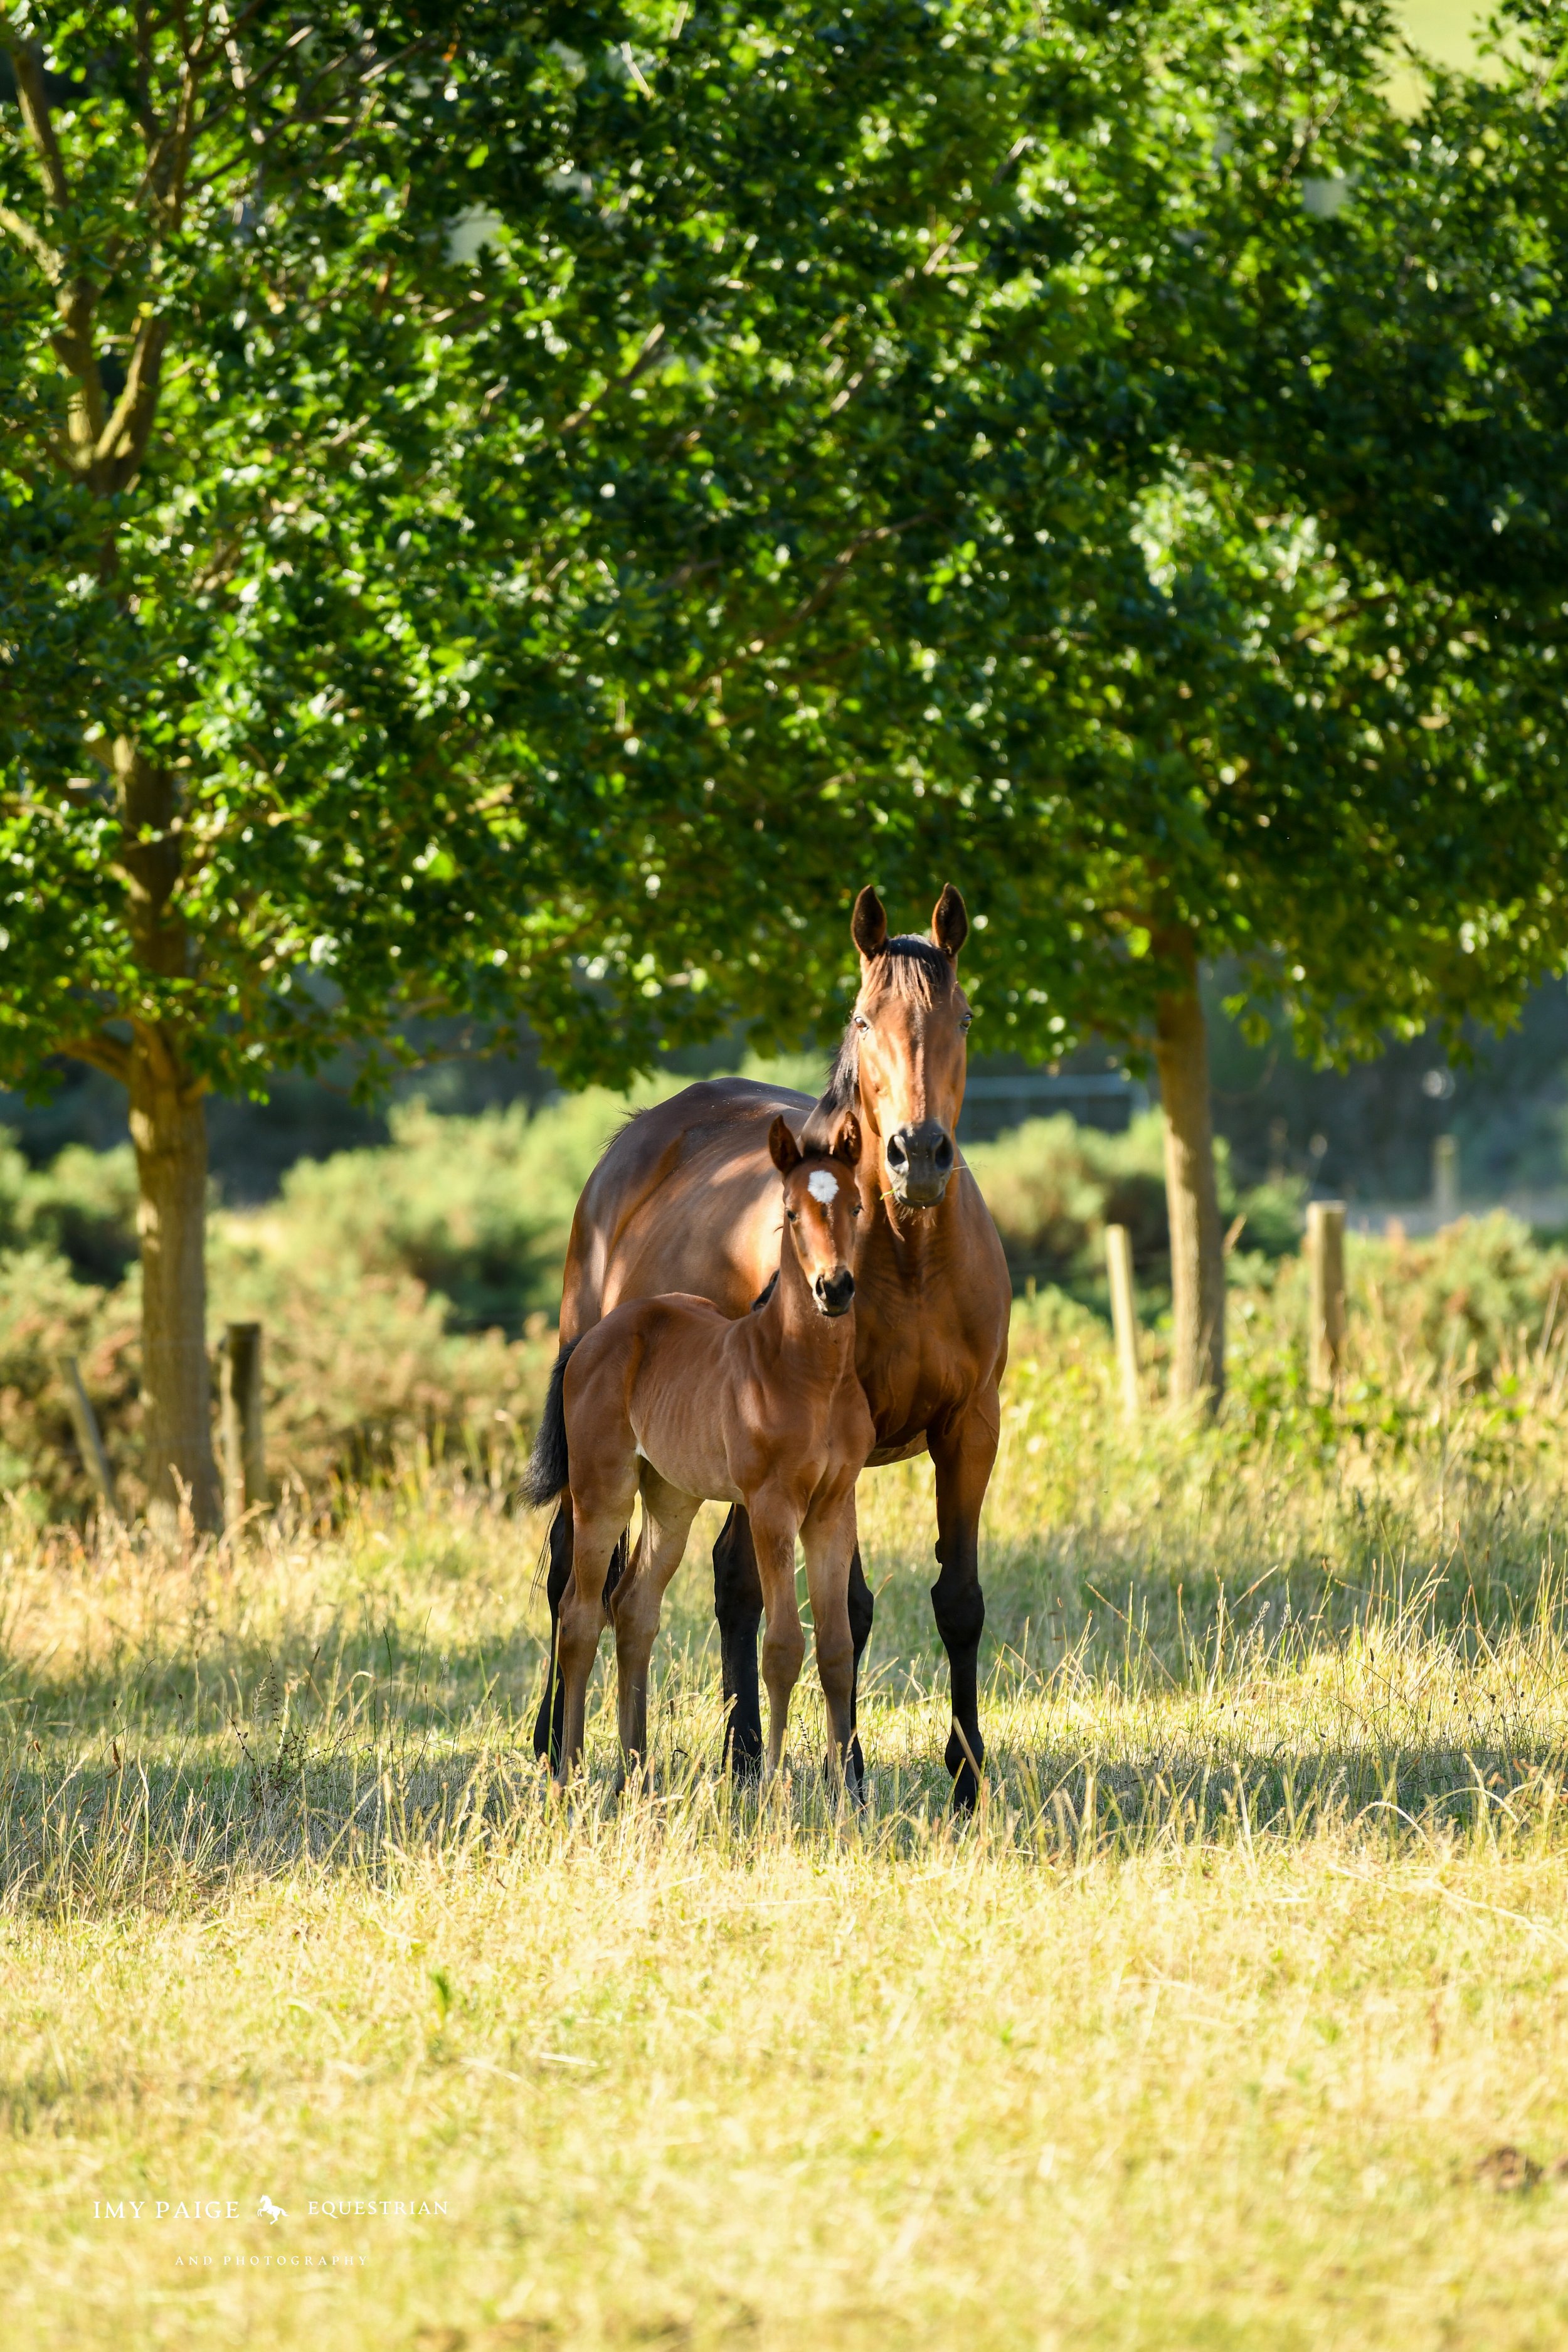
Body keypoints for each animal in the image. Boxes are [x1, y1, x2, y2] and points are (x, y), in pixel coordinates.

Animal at [520, 1114, 873, 1788]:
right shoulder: (771, 1507)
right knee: (580, 1614)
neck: (806, 1374)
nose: (836, 1288)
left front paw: (845, 1793)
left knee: (634, 1608)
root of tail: (592, 1338)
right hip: (604, 1493)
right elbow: (782, 1645)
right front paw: (773, 1788)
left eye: (858, 1207)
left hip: (671, 1500)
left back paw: (635, 1770)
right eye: (790, 1212)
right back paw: (569, 1769)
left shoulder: (835, 1506)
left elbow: (836, 1646)